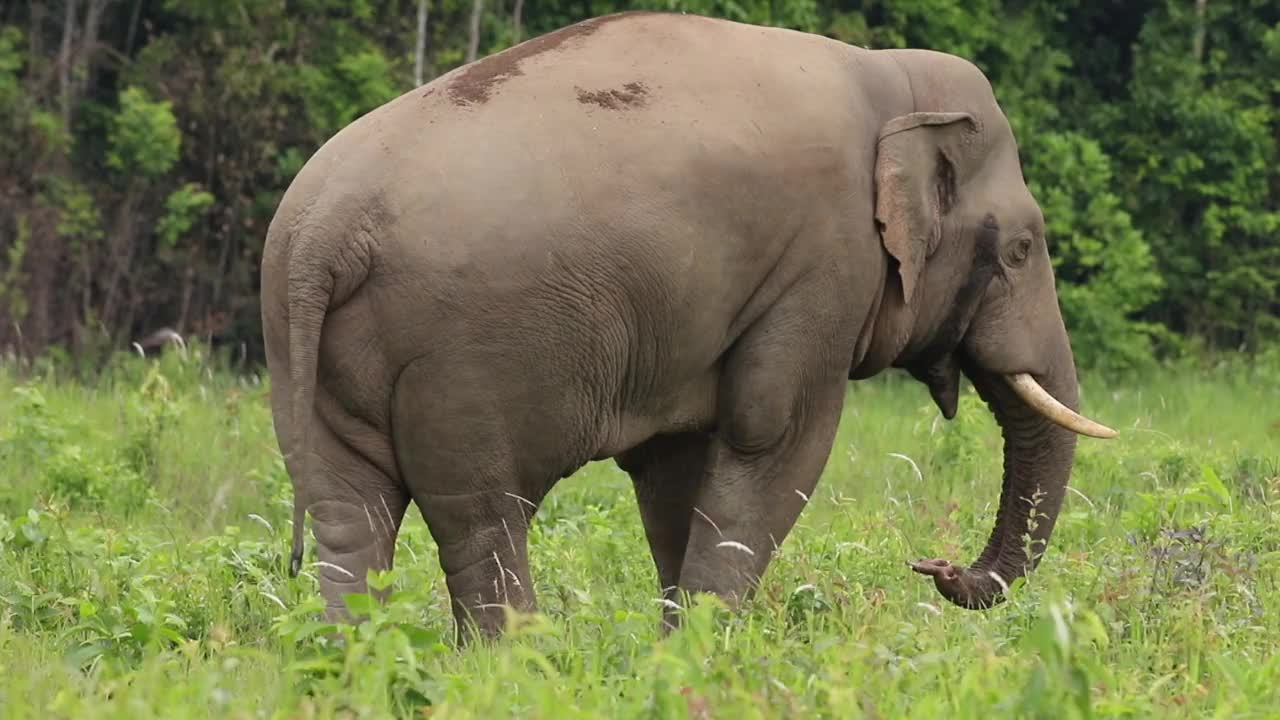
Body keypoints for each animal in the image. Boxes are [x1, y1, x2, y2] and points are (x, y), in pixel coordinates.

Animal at [257, 9, 1111, 638]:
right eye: (1023, 249)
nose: (933, 567)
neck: (888, 76)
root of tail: (324, 234)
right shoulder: (821, 267)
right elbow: (775, 438)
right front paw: (712, 649)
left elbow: (675, 468)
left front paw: (677, 647)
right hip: (462, 364)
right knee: (482, 520)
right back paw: (518, 665)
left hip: (299, 352)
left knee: (347, 514)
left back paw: (353, 658)